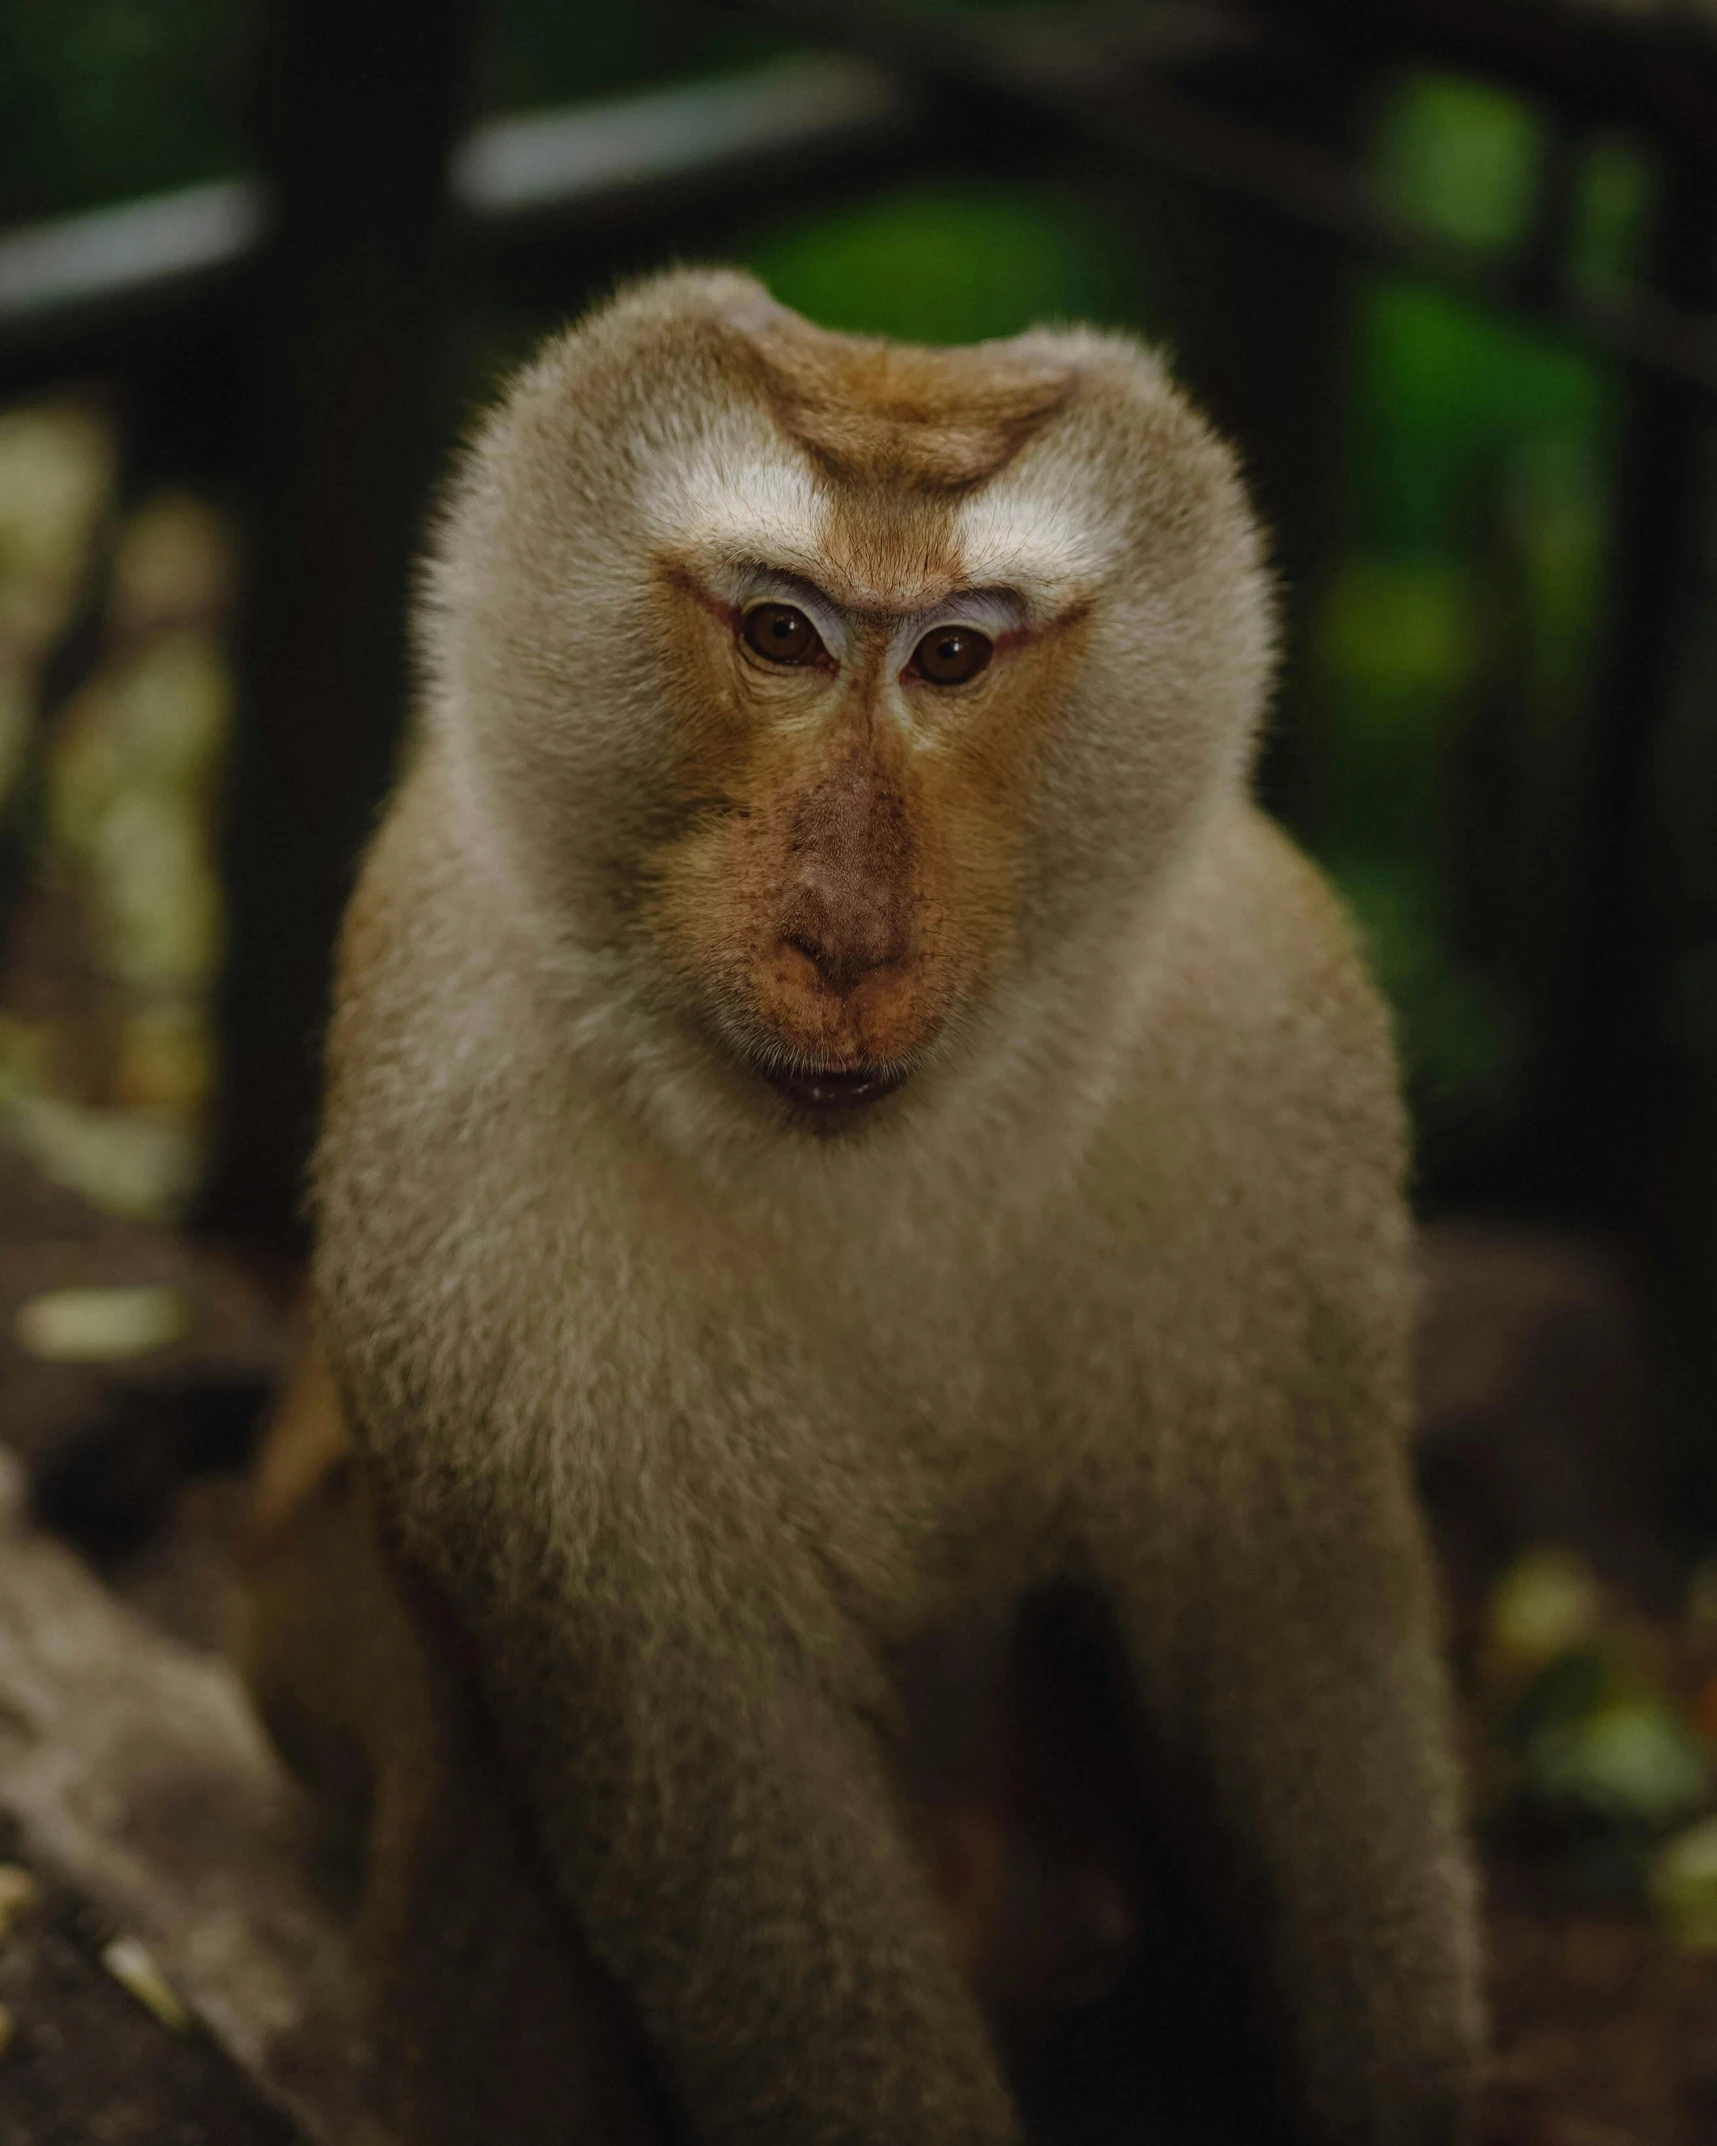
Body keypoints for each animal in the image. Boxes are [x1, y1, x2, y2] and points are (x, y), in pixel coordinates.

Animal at [235, 276, 1485, 2146]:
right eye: (782, 634)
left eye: (952, 655)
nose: (842, 931)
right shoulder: (460, 1094)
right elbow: (701, 1755)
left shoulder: (1265, 1031)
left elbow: (1298, 1645)